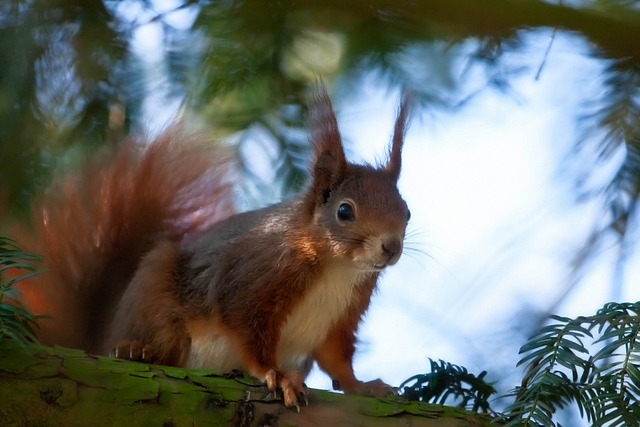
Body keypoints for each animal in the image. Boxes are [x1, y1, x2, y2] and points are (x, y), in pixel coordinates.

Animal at [16, 85, 416, 410]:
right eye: (344, 211)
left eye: (407, 210)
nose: (390, 247)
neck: (338, 268)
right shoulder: (253, 281)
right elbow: (247, 331)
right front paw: (276, 375)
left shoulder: (342, 316)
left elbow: (337, 360)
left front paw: (363, 387)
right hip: (154, 294)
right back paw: (135, 349)